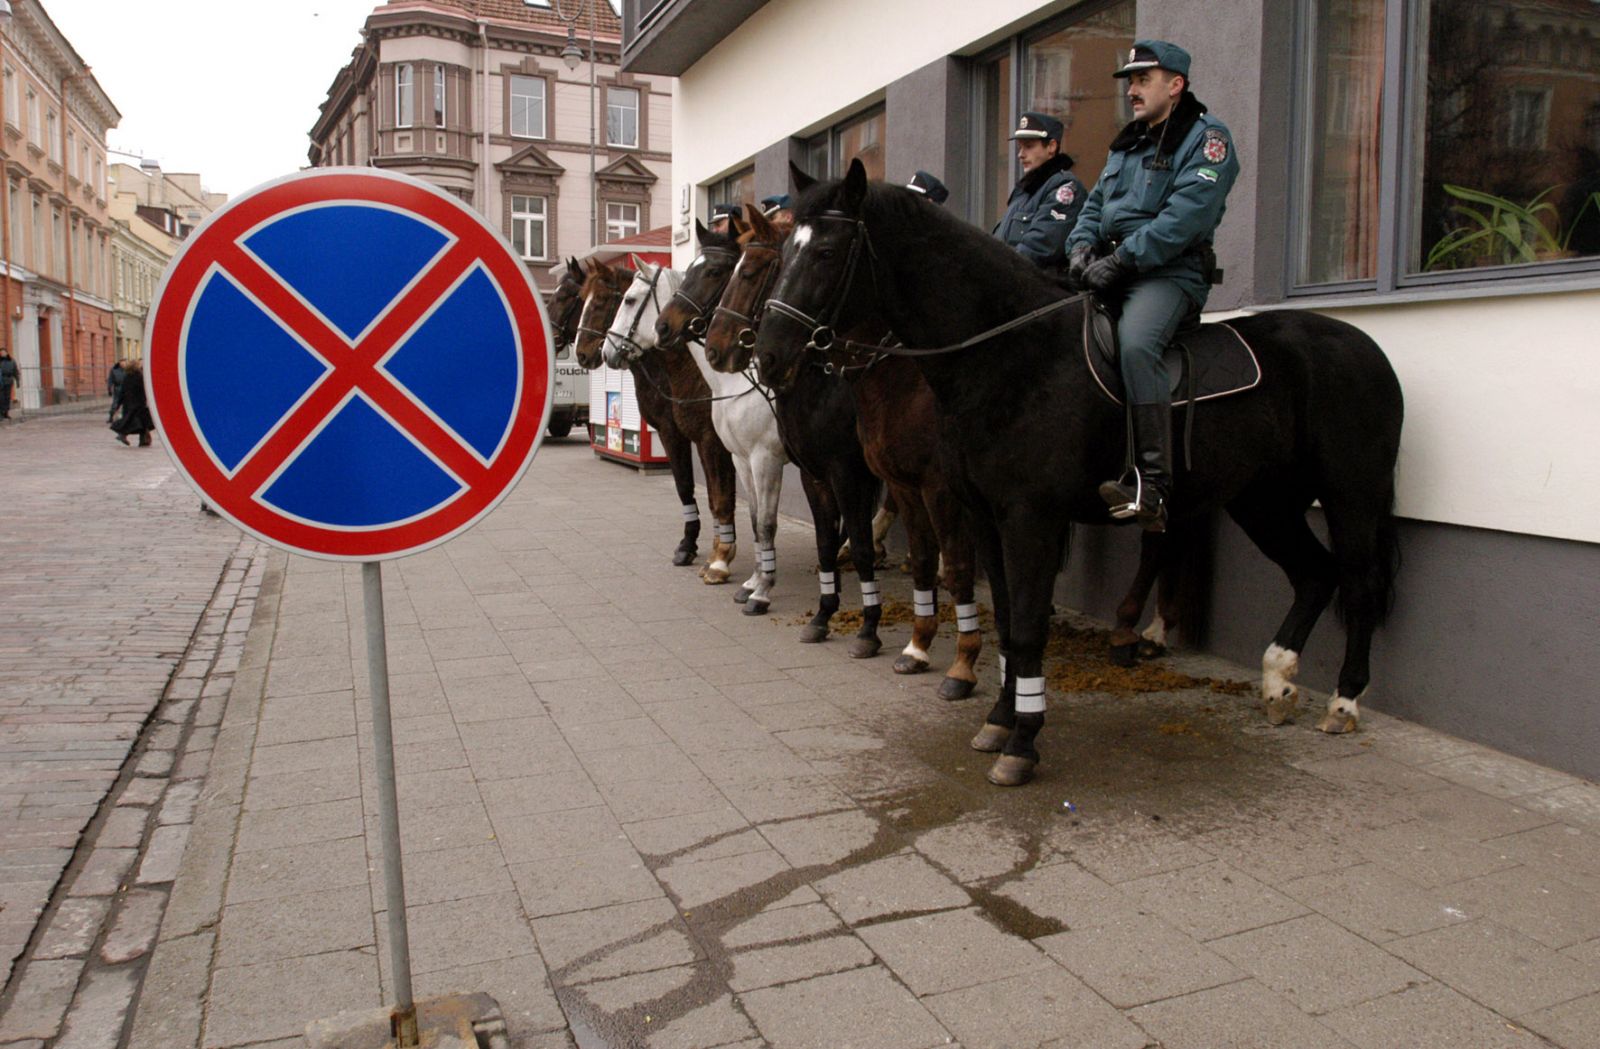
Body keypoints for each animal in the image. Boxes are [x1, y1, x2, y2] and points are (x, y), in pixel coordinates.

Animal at [569, 258, 741, 582]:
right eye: (580, 300)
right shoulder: (685, 436)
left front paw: (714, 554)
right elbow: (696, 489)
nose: (584, 354)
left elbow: (716, 494)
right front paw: (697, 546)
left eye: (601, 301)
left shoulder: (704, 439)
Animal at [657, 211, 889, 660]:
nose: (662, 326)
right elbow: (752, 519)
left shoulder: (768, 459)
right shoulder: (742, 458)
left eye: (717, 272)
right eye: (690, 270)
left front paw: (760, 592)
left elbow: (765, 523)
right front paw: (752, 581)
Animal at [688, 207, 987, 698]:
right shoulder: (802, 470)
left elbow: (812, 532)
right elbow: (812, 536)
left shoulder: (832, 469)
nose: (717, 348)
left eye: (741, 273)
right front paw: (817, 612)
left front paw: (865, 628)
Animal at [755, 159, 1403, 787]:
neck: (1010, 356)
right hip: (1263, 500)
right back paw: (1278, 682)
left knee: (1357, 583)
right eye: (784, 254)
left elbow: (1026, 627)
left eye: (825, 253)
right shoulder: (987, 517)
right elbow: (1008, 619)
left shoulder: (1028, 518)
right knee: (1315, 575)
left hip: (1351, 497)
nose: (767, 354)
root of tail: (1363, 345)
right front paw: (999, 721)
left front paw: (1021, 743)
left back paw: (1342, 702)